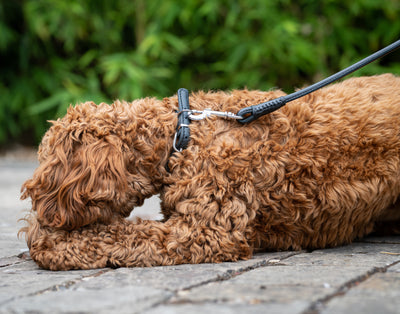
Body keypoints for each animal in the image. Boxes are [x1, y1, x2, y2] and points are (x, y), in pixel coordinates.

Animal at [21, 74, 400, 270]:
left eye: (47, 164)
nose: (38, 209)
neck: (181, 133)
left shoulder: (204, 231)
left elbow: (116, 237)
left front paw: (45, 240)